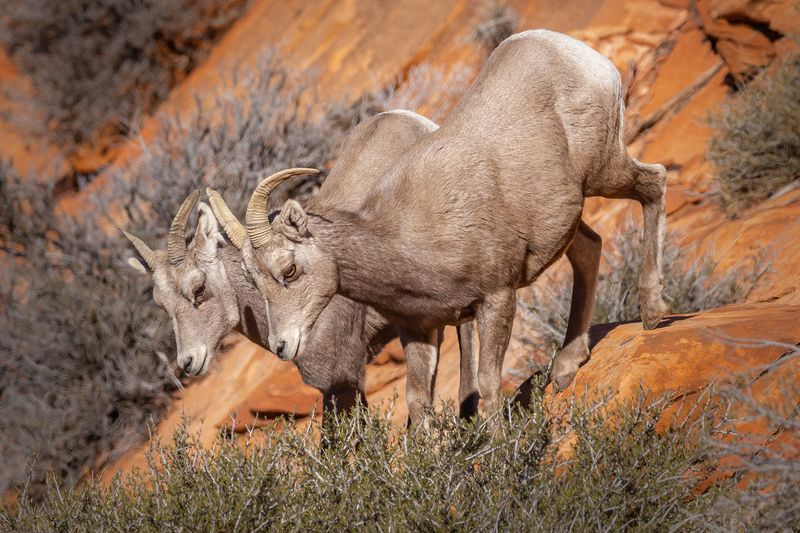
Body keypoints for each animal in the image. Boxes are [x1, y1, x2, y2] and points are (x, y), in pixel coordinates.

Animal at [238, 29, 668, 422]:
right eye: (255, 282)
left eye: (289, 270)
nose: (281, 346)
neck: (407, 238)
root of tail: (569, 48)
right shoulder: (420, 330)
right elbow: (418, 404)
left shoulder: (497, 299)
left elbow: (489, 385)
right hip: (569, 218)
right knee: (591, 248)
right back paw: (566, 365)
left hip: (604, 172)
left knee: (655, 183)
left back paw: (654, 313)